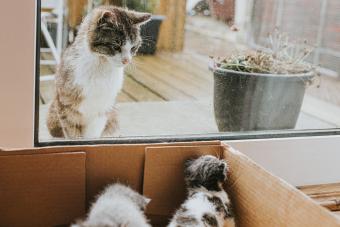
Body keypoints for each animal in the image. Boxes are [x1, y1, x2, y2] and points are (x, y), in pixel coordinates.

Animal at [47, 5, 151, 138]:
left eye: (133, 47)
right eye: (116, 46)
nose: (127, 60)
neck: (101, 68)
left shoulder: (103, 109)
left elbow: (93, 133)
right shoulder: (66, 107)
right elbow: (72, 133)